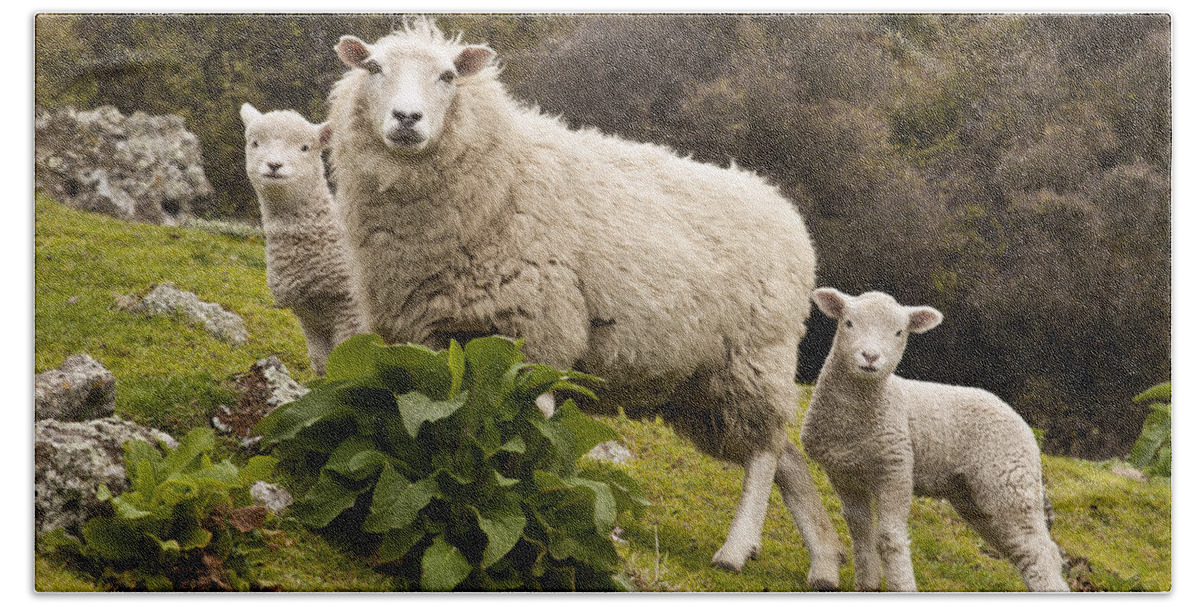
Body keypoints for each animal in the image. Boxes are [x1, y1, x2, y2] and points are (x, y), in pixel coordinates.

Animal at [236, 104, 360, 376]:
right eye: (255, 142)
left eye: (305, 147)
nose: (274, 165)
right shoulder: (308, 316)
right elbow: (323, 363)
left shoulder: (350, 309)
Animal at [324, 17, 840, 585]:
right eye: (374, 68)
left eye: (447, 76)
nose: (407, 119)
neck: (501, 176)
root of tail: (783, 209)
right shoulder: (433, 339)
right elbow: (444, 424)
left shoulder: (538, 333)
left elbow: (538, 434)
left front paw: (543, 503)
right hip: (699, 386)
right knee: (788, 457)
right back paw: (825, 563)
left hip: (753, 359)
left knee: (766, 454)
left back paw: (737, 547)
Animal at [796, 290, 1070, 594]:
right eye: (848, 323)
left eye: (899, 332)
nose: (870, 357)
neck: (853, 422)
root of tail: (1022, 424)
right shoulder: (842, 473)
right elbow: (861, 530)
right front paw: (867, 585)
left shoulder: (896, 469)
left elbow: (889, 537)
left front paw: (902, 586)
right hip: (973, 496)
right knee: (1021, 549)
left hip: (1009, 480)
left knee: (1039, 550)